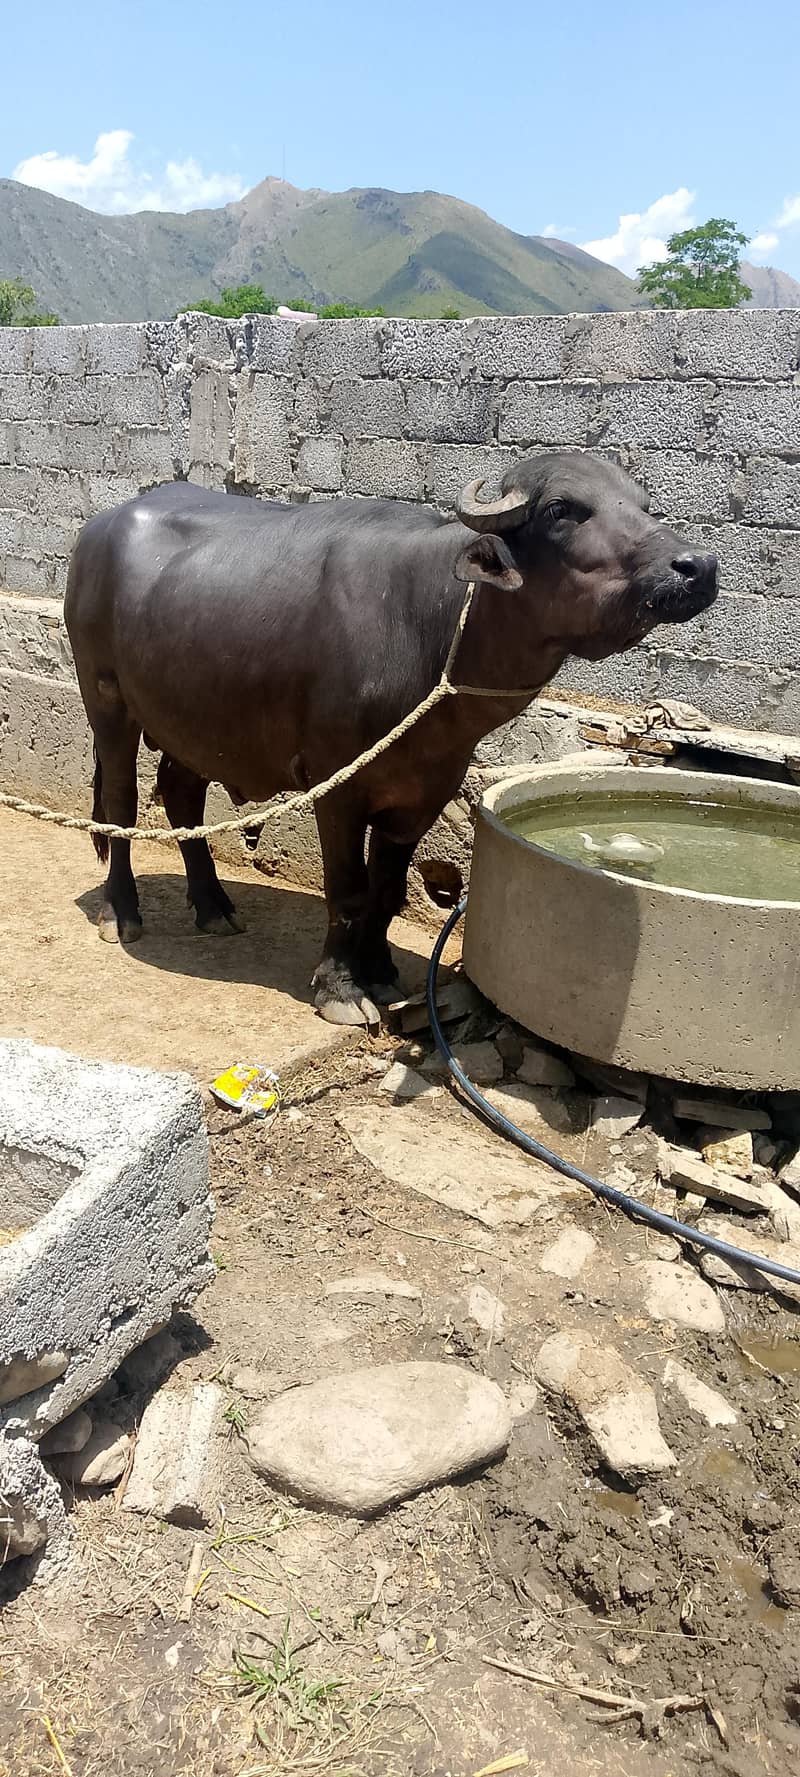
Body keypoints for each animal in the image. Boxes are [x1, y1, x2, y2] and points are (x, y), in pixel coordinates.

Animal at [64, 452, 718, 1026]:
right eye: (562, 509)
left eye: (642, 504)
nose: (697, 567)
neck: (434, 624)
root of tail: (98, 529)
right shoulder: (337, 787)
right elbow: (350, 891)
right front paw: (340, 989)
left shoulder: (424, 791)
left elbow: (388, 890)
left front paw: (378, 971)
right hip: (107, 700)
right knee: (119, 803)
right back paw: (121, 912)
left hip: (193, 721)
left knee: (181, 798)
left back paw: (213, 907)